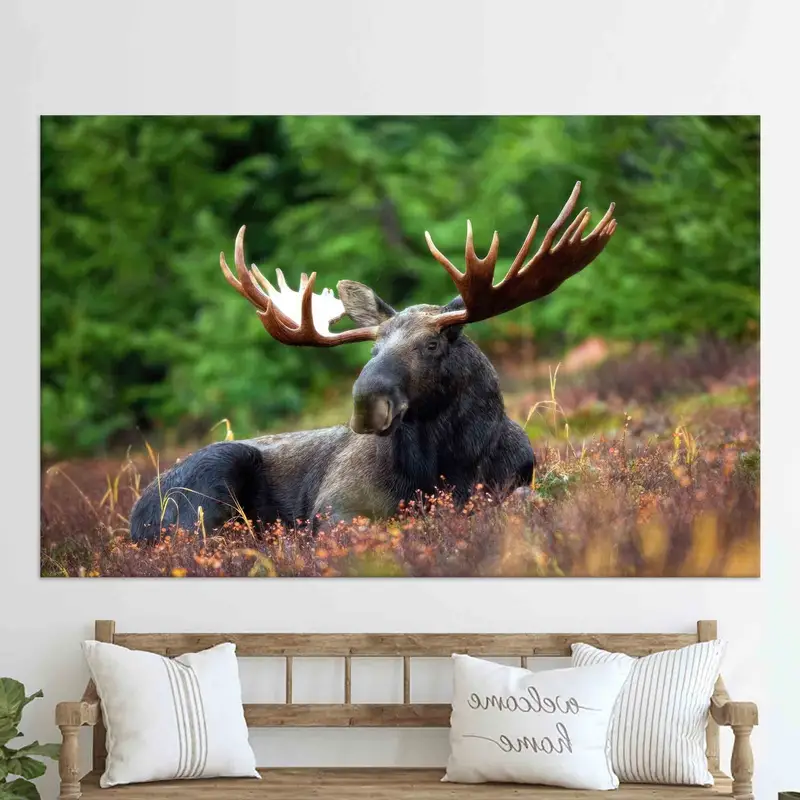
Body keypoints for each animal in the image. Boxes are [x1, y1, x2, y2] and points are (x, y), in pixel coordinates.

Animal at [129, 181, 616, 542]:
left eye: (432, 344)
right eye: (373, 349)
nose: (367, 402)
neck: (451, 465)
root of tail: (135, 517)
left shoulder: (515, 482)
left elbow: (525, 502)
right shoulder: (336, 506)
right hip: (209, 485)